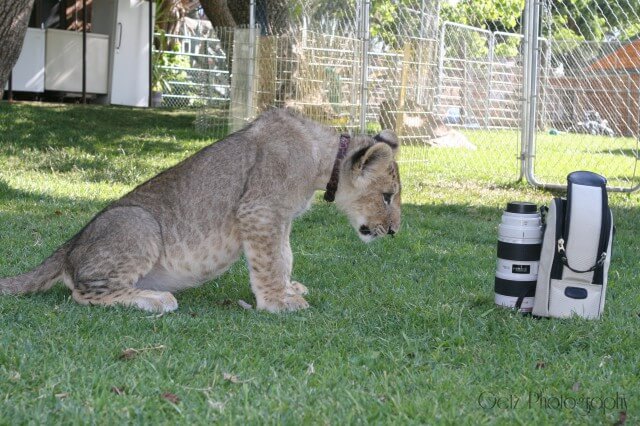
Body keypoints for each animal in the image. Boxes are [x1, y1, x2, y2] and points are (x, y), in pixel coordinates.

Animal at [0, 109, 401, 313]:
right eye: (387, 196)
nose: (395, 231)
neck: (322, 160)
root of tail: (71, 243)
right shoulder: (260, 209)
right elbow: (270, 261)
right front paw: (276, 303)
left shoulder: (280, 217)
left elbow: (284, 256)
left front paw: (289, 289)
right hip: (138, 222)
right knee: (83, 292)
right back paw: (156, 300)